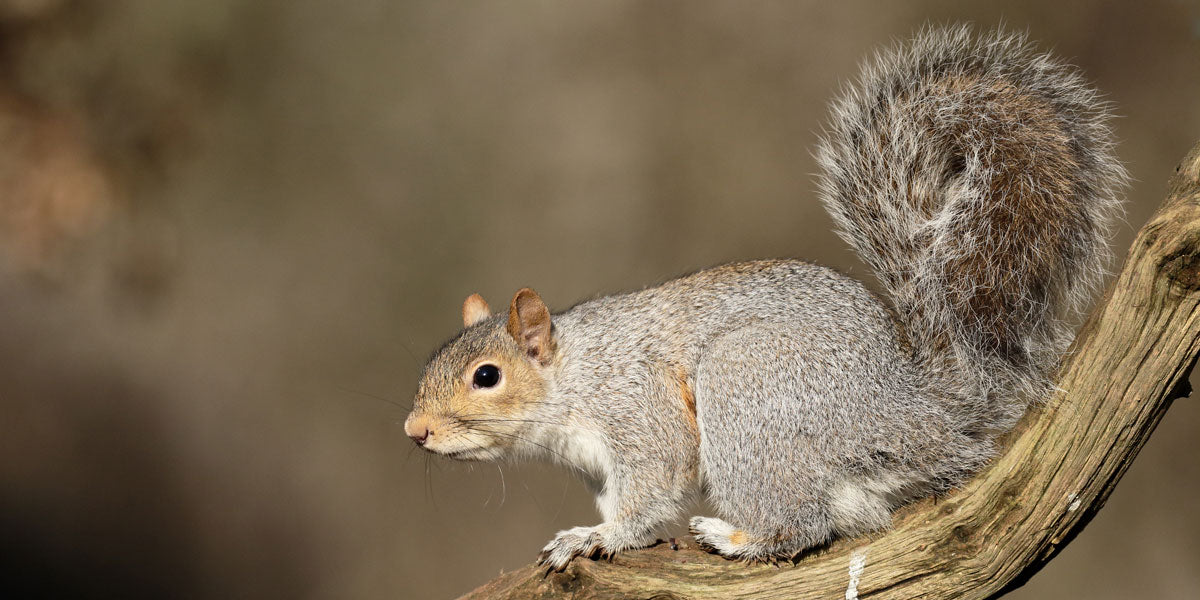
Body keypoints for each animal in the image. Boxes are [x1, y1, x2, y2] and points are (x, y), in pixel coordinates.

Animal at [403, 25, 1123, 568]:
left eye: (486, 376)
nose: (414, 431)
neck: (574, 374)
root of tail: (918, 412)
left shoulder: (637, 409)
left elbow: (653, 485)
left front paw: (596, 538)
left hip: (748, 387)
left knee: (801, 524)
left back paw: (735, 536)